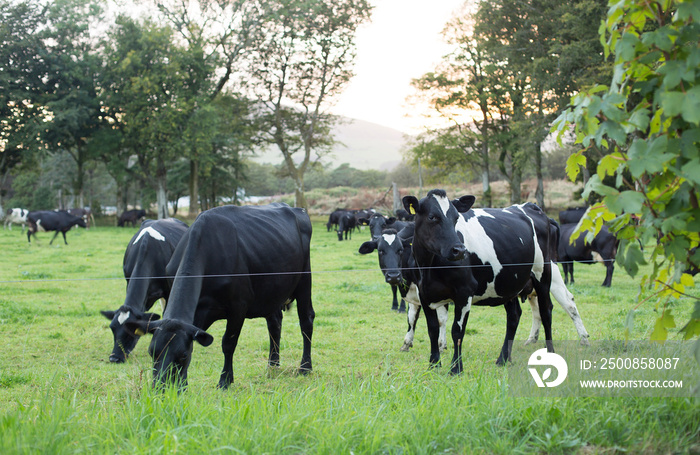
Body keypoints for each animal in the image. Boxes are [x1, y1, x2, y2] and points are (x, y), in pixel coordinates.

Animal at [123, 205, 314, 390]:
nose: (162, 389)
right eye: (152, 352)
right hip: (271, 292)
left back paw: (305, 367)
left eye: (182, 355)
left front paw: (225, 380)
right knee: (274, 323)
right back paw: (273, 365)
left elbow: (228, 344)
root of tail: (296, 209)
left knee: (306, 321)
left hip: (304, 280)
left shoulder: (238, 307)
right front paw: (184, 385)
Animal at [402, 189, 556, 374]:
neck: (428, 268)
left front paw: (456, 369)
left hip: (543, 273)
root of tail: (530, 206)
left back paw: (551, 355)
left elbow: (457, 331)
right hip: (508, 284)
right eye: (432, 217)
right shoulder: (423, 293)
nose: (459, 250)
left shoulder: (464, 292)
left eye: (456, 218)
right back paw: (503, 359)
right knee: (513, 316)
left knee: (546, 311)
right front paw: (433, 365)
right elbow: (432, 329)